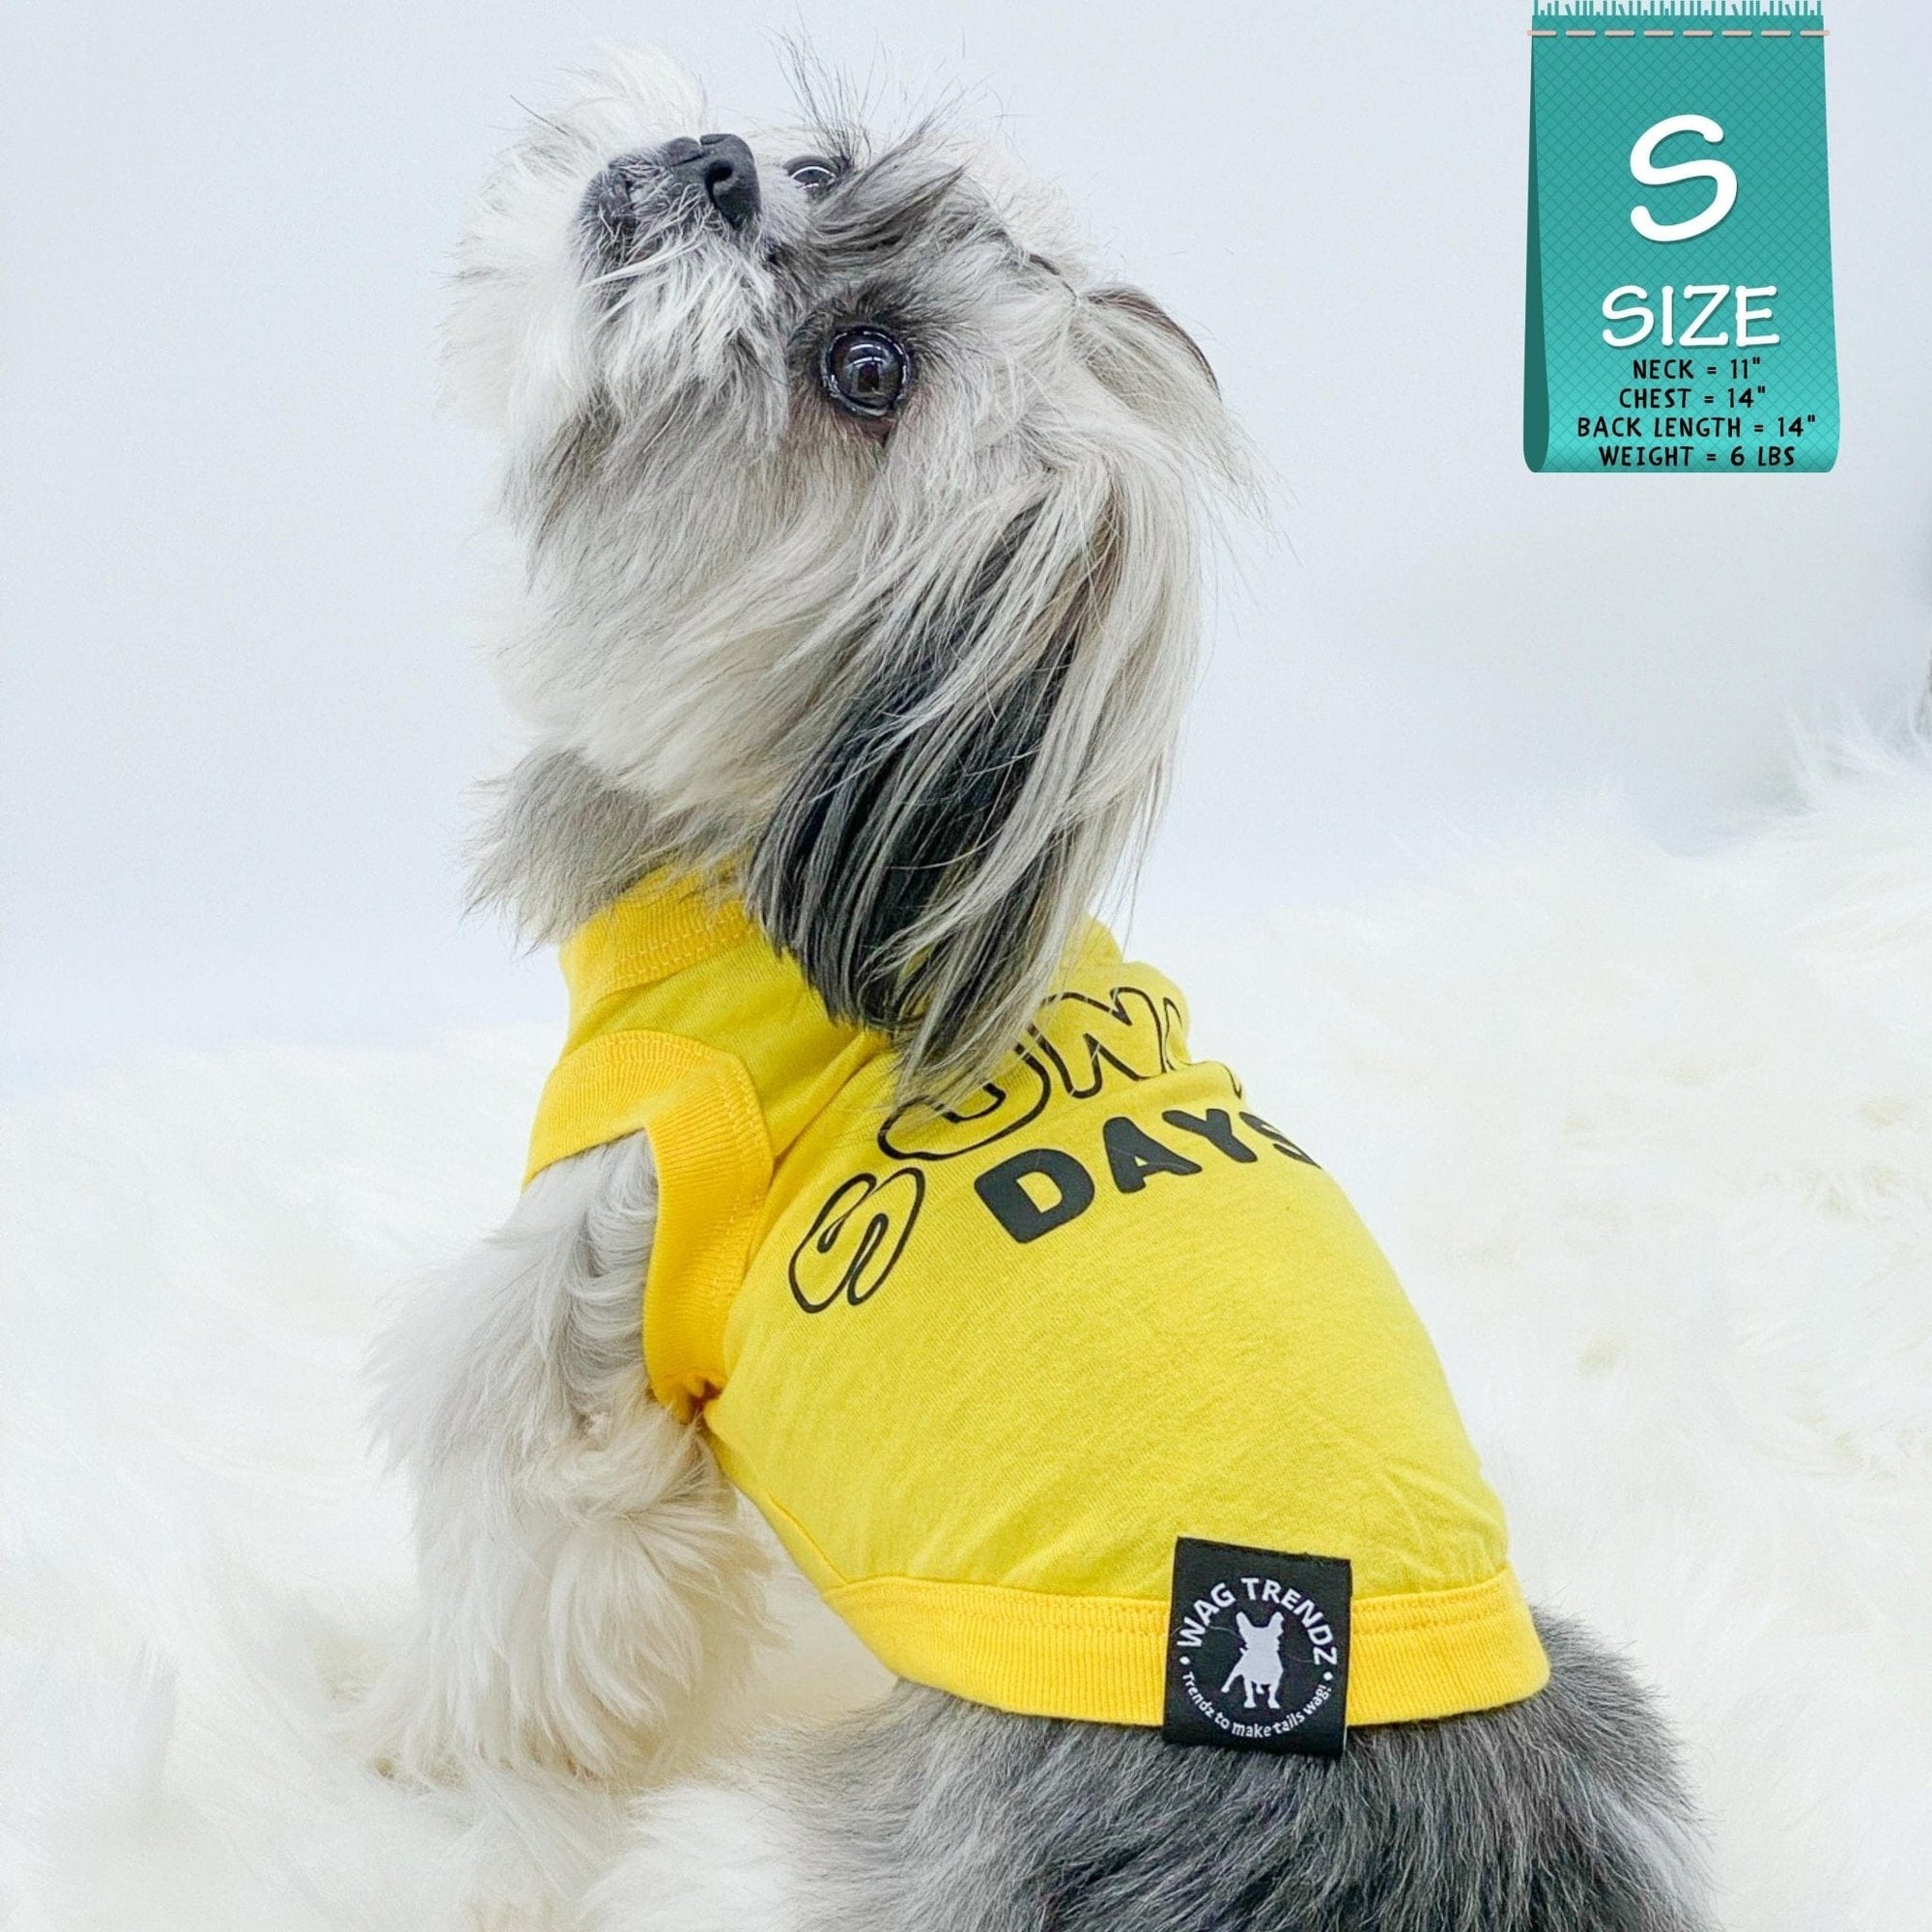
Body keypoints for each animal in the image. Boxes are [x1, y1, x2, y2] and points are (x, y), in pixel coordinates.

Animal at [362, 49, 1714, 1931]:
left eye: (869, 372)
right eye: (826, 166)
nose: (722, 165)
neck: (764, 856)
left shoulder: (578, 1319)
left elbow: (513, 1623)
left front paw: (408, 1759)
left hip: (776, 1864)